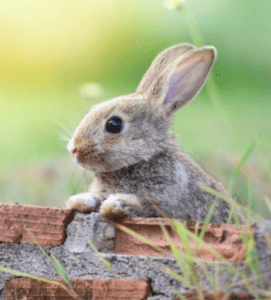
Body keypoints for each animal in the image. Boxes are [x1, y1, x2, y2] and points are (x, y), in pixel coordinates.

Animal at [67, 43, 239, 224]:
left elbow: (139, 204)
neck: (142, 159)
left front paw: (114, 204)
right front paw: (79, 201)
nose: (73, 148)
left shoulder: (162, 199)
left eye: (114, 124)